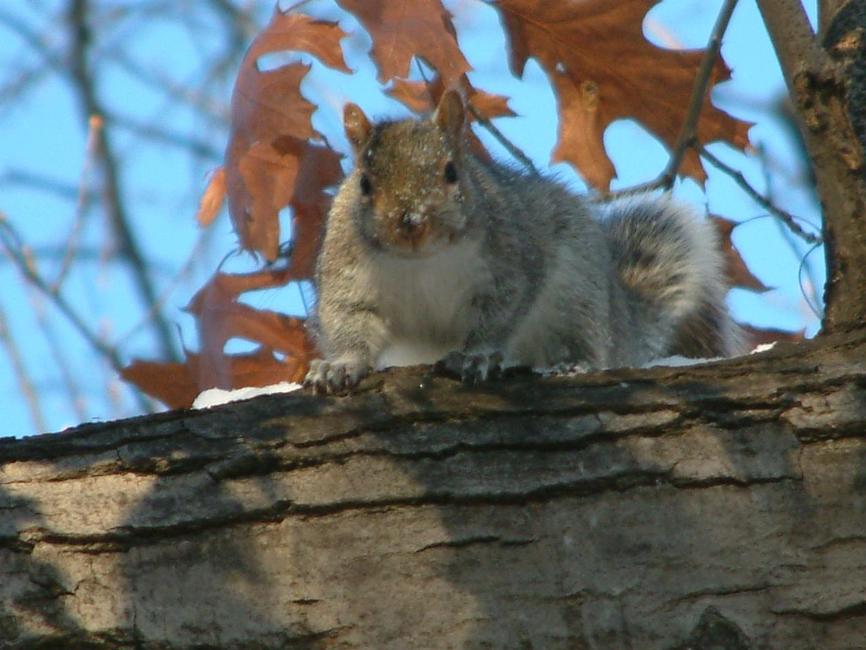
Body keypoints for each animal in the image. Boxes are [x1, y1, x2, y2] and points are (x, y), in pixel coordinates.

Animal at [304, 90, 742, 393]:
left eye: (451, 172)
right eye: (364, 183)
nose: (411, 222)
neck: (422, 260)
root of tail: (622, 315)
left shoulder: (510, 260)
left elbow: (502, 310)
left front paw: (476, 356)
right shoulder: (346, 274)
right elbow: (347, 319)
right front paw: (340, 365)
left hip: (578, 291)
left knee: (586, 339)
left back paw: (573, 364)